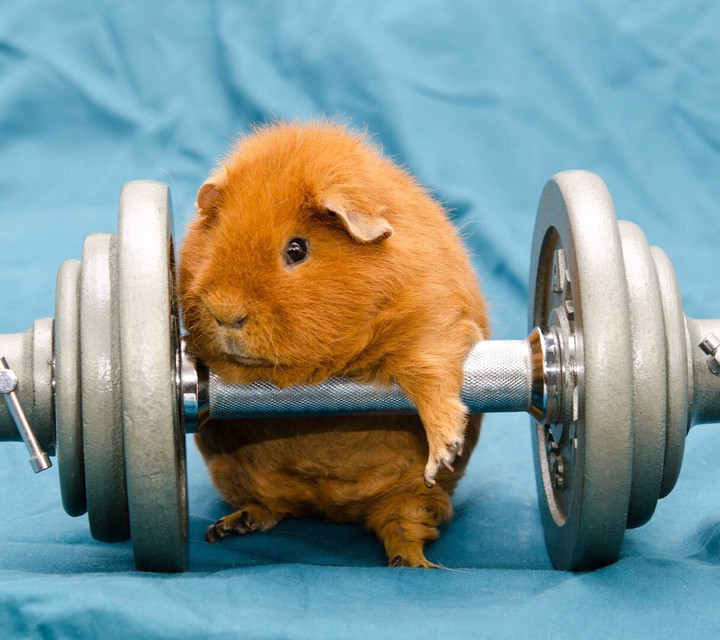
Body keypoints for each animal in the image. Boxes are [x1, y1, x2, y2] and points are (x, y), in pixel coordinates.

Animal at [179, 121, 488, 567]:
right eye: (214, 238)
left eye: (297, 249)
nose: (226, 313)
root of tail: (332, 508)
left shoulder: (433, 329)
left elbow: (433, 385)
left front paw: (443, 452)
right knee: (271, 508)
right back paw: (226, 528)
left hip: (411, 496)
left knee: (404, 528)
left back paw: (414, 565)